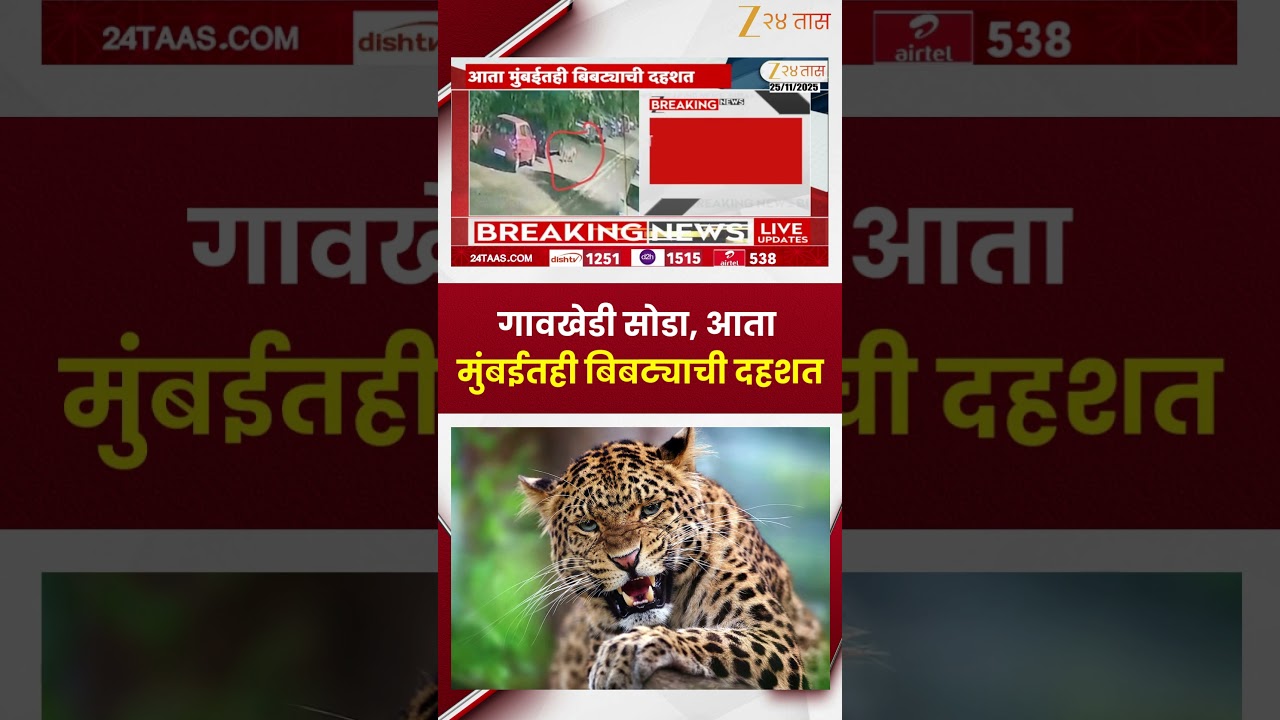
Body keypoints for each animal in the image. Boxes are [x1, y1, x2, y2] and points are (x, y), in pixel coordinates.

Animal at [518, 427, 823, 690]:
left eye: (650, 508)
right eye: (588, 525)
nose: (627, 559)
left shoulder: (775, 639)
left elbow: (710, 636)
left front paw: (628, 649)